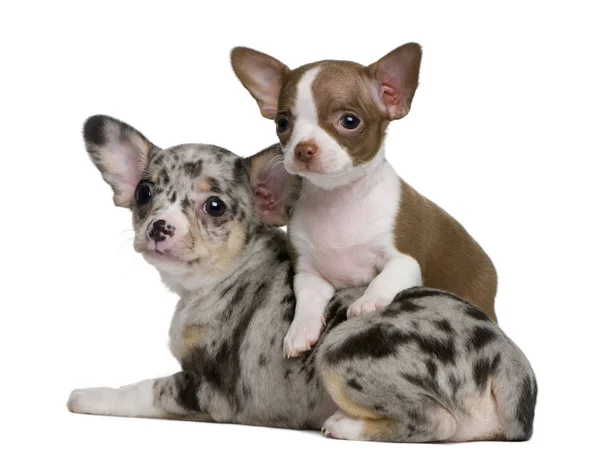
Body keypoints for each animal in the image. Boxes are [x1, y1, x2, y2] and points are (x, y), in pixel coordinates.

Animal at [68, 114, 536, 442]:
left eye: (214, 206)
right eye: (144, 193)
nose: (158, 227)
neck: (207, 283)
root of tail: (506, 359)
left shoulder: (205, 388)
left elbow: (139, 390)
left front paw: (88, 395)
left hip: (339, 347)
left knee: (437, 421)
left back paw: (345, 426)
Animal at [232, 44, 500, 358]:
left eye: (349, 121)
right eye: (282, 123)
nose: (303, 148)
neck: (339, 199)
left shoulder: (404, 261)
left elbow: (383, 279)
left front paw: (366, 303)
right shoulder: (310, 275)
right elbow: (307, 302)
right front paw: (300, 331)